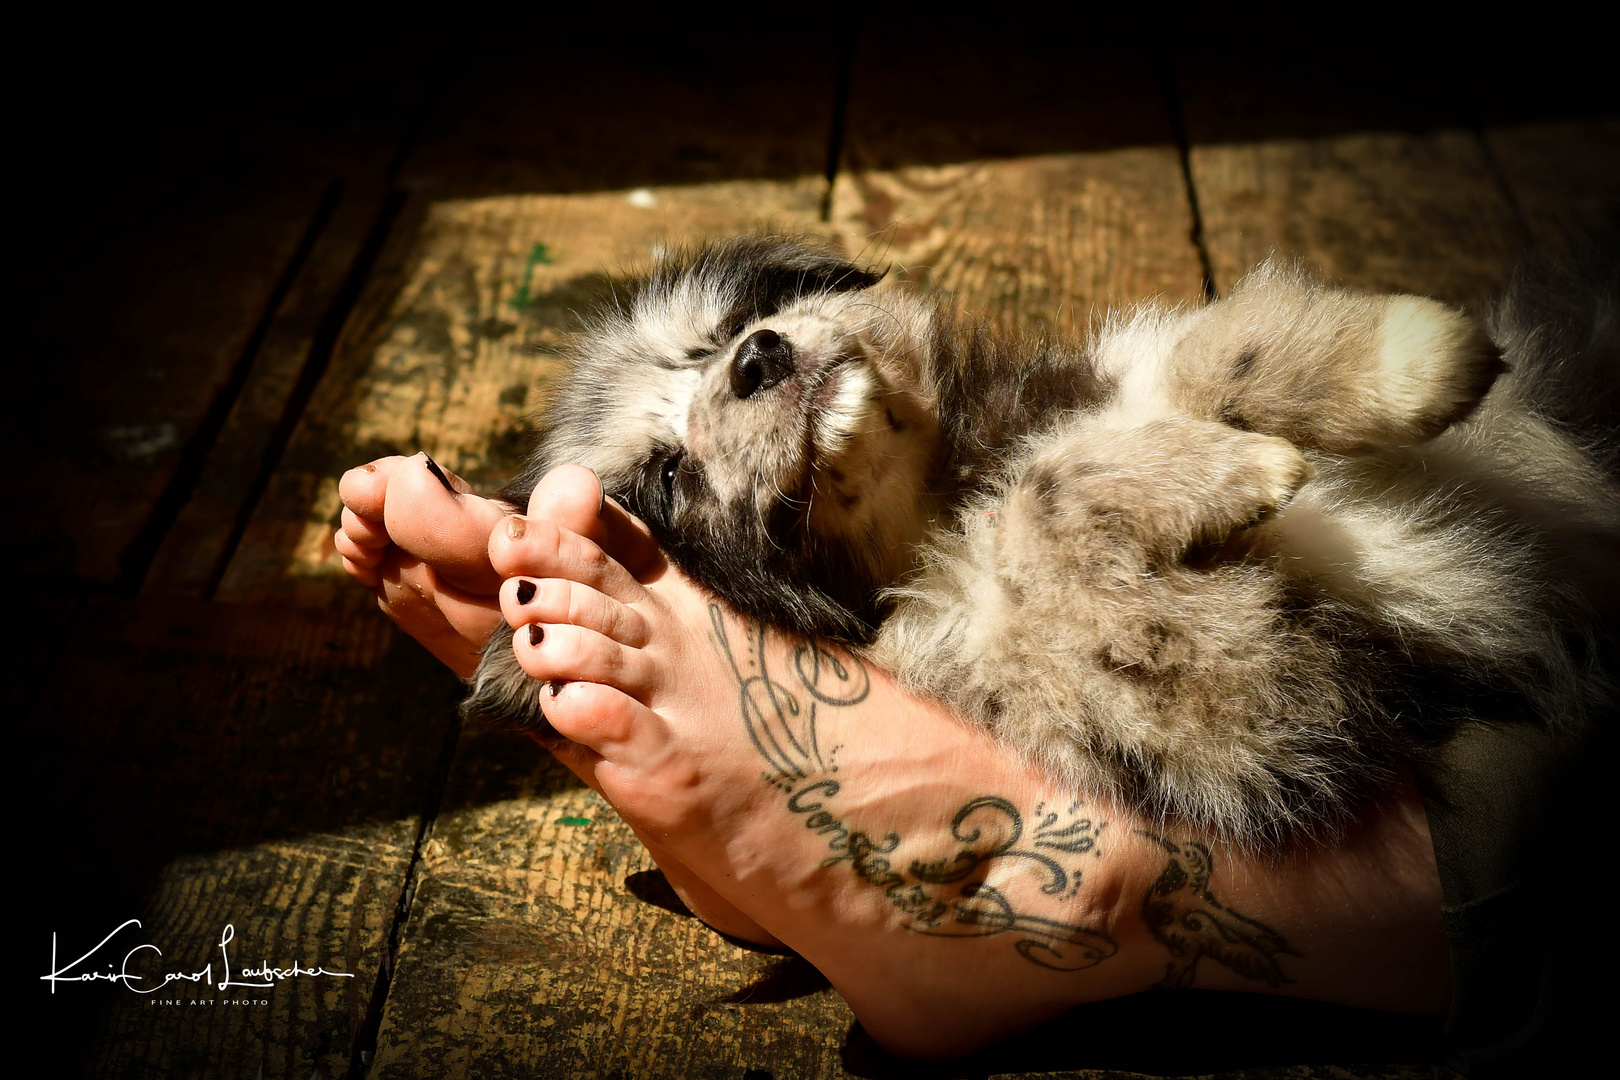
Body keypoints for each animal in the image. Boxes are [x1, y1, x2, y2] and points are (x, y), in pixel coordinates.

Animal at [463, 238, 1613, 854]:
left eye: (734, 320)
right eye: (665, 477)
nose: (758, 358)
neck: (945, 507)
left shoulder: (1121, 381)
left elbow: (1216, 351)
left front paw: (1419, 357)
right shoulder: (1234, 698)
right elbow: (1049, 498)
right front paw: (1242, 473)